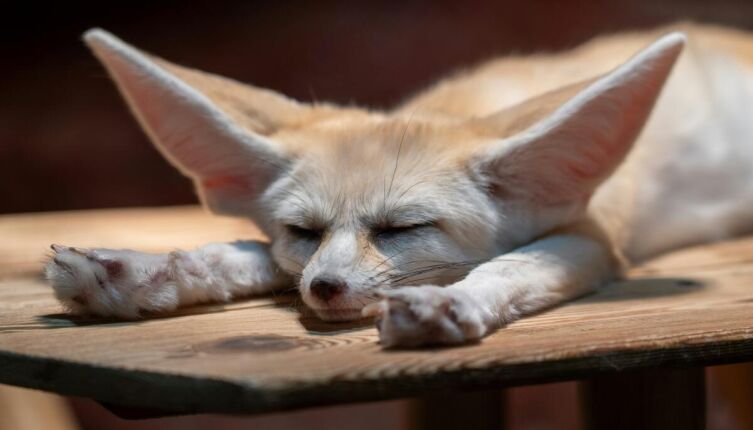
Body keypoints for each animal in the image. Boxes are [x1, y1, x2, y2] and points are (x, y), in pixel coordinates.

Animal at [45, 23, 753, 348]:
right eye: (302, 231)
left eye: (403, 228)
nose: (326, 288)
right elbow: (247, 253)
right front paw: (138, 272)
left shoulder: (595, 236)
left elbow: (511, 266)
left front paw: (450, 303)